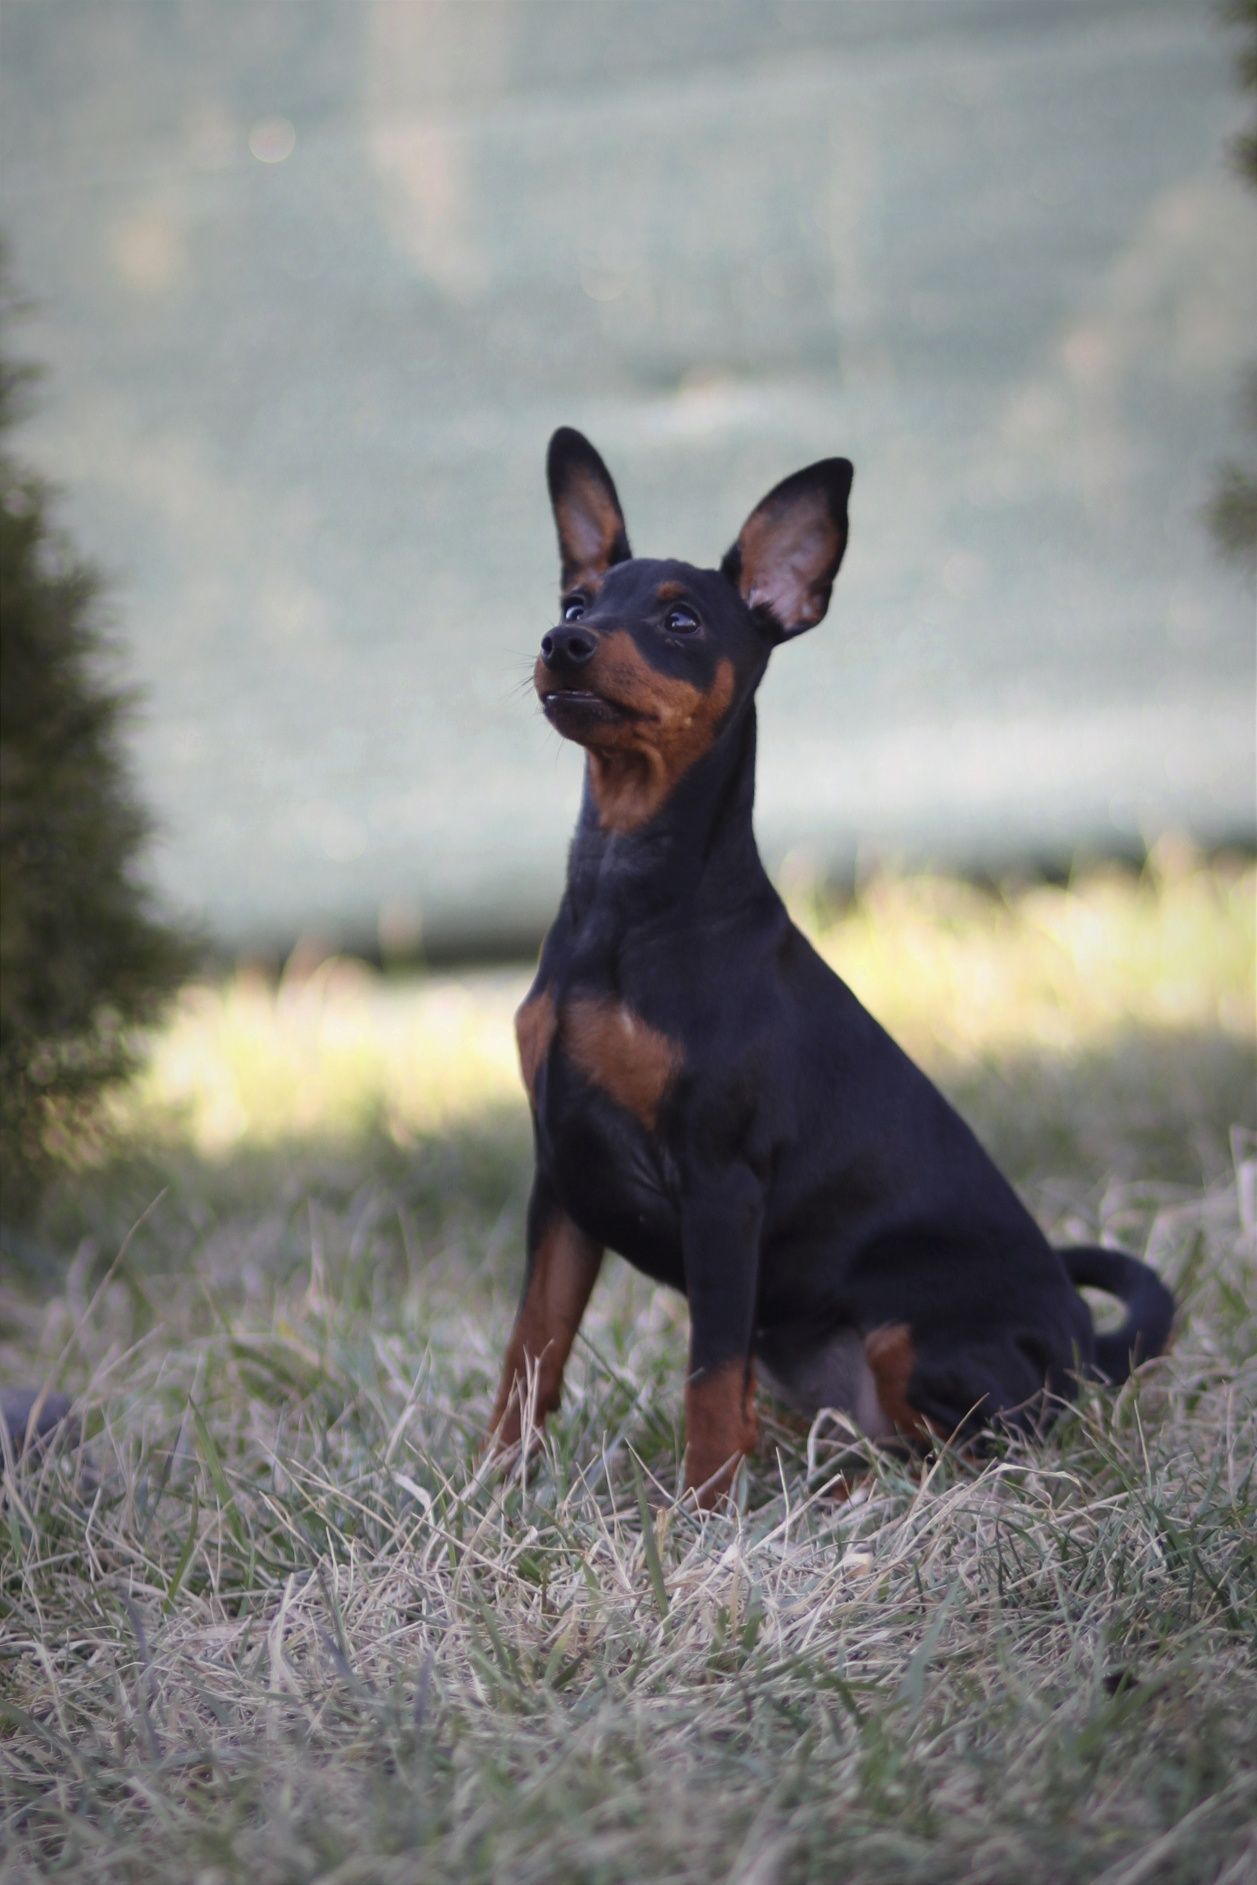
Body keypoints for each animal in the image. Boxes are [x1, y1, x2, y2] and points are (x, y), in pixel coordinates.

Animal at [489, 433, 1168, 1508]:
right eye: (575, 603)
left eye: (680, 619)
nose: (563, 646)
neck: (626, 896)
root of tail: (1085, 1349)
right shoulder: (562, 1173)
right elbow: (531, 1348)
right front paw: (489, 1485)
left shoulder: (722, 1186)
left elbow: (705, 1370)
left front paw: (703, 1513)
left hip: (912, 1342)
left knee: (982, 1443)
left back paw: (841, 1491)